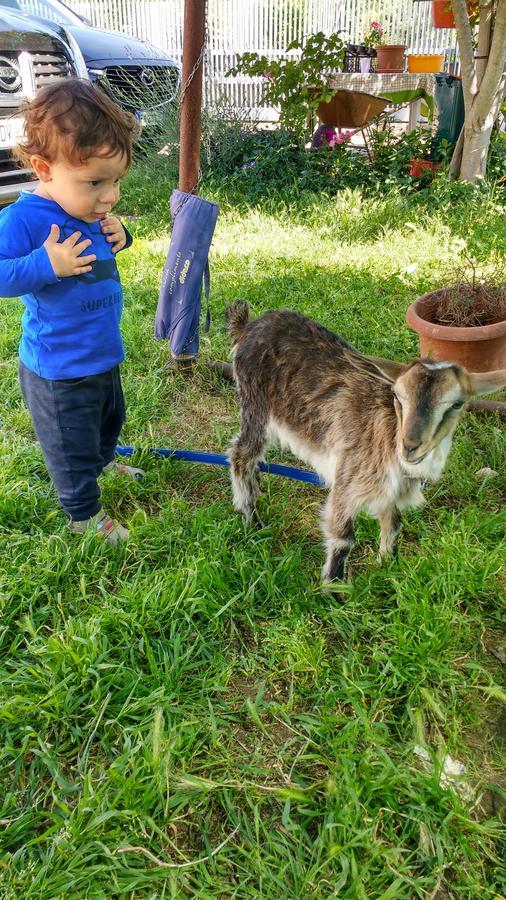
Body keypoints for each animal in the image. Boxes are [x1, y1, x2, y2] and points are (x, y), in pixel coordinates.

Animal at [228, 302, 506, 584]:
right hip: (256, 406)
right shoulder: (347, 482)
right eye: (397, 395)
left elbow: (393, 525)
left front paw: (386, 565)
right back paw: (252, 520)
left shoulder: (394, 490)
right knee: (241, 454)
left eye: (457, 404)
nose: (410, 445)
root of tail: (249, 326)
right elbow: (342, 540)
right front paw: (335, 589)